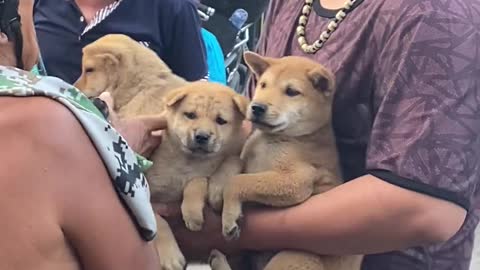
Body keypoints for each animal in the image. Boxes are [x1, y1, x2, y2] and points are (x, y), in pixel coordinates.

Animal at [210, 52, 364, 270]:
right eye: (263, 85)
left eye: (291, 92)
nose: (256, 107)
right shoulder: (245, 157)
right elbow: (233, 163)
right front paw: (216, 188)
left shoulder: (295, 181)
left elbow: (239, 181)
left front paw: (230, 216)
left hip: (294, 257)